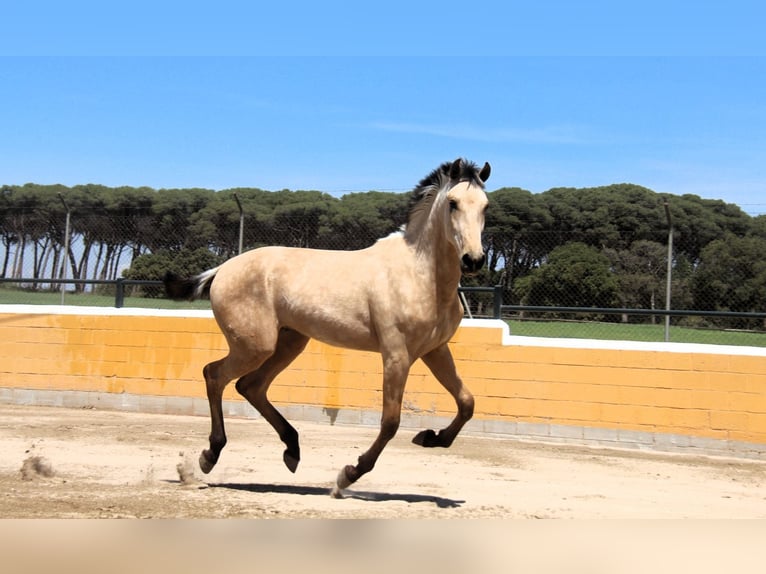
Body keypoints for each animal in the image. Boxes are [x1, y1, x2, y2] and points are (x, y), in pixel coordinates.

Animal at [163, 158, 491, 497]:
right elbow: (390, 421)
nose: (474, 260)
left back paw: (292, 450)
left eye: (485, 206)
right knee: (214, 375)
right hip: (254, 346)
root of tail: (221, 269)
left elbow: (467, 403)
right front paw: (348, 474)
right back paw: (208, 456)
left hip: (289, 343)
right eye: (452, 203)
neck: (420, 274)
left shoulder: (435, 350)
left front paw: (431, 437)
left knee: (250, 386)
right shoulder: (396, 354)